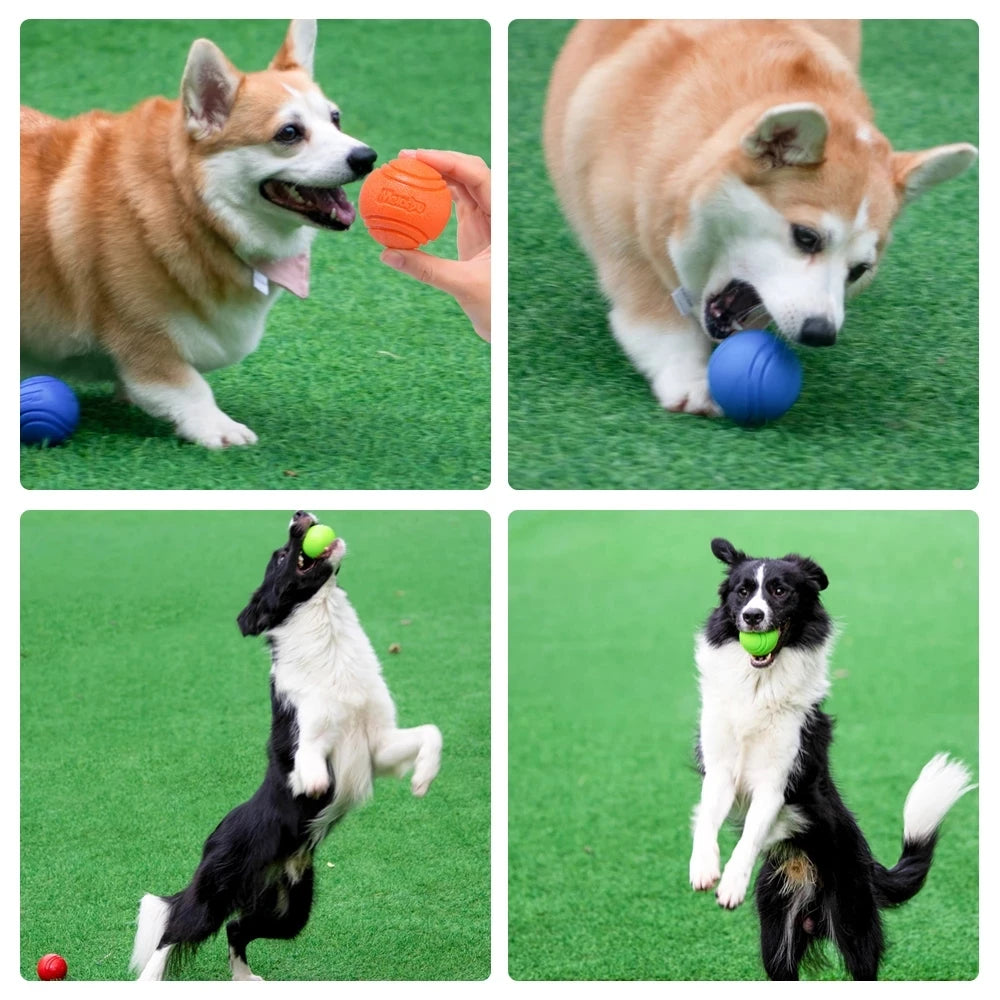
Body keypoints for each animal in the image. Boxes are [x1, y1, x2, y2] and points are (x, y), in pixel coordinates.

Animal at [22, 18, 376, 450]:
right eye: (289, 133)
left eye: (336, 118)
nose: (367, 158)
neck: (191, 205)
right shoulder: (143, 340)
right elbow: (189, 387)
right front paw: (220, 428)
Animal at [131, 512, 444, 980]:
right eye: (280, 556)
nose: (299, 514)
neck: (327, 637)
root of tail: (212, 837)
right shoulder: (308, 731)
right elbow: (307, 755)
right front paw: (313, 783)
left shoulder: (377, 745)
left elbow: (431, 732)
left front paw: (423, 780)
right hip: (217, 890)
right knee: (172, 932)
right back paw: (152, 977)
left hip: (290, 909)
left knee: (237, 928)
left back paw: (245, 979)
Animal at [544, 21, 980, 416]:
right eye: (806, 237)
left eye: (859, 270)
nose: (821, 334)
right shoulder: (625, 239)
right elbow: (655, 315)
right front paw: (688, 378)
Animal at [692, 540, 972, 976]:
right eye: (742, 591)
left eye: (780, 591)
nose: (752, 617)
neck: (759, 685)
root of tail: (870, 866)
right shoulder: (720, 770)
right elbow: (707, 817)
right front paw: (704, 867)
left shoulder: (777, 782)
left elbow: (752, 831)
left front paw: (732, 883)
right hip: (777, 935)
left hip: (854, 923)